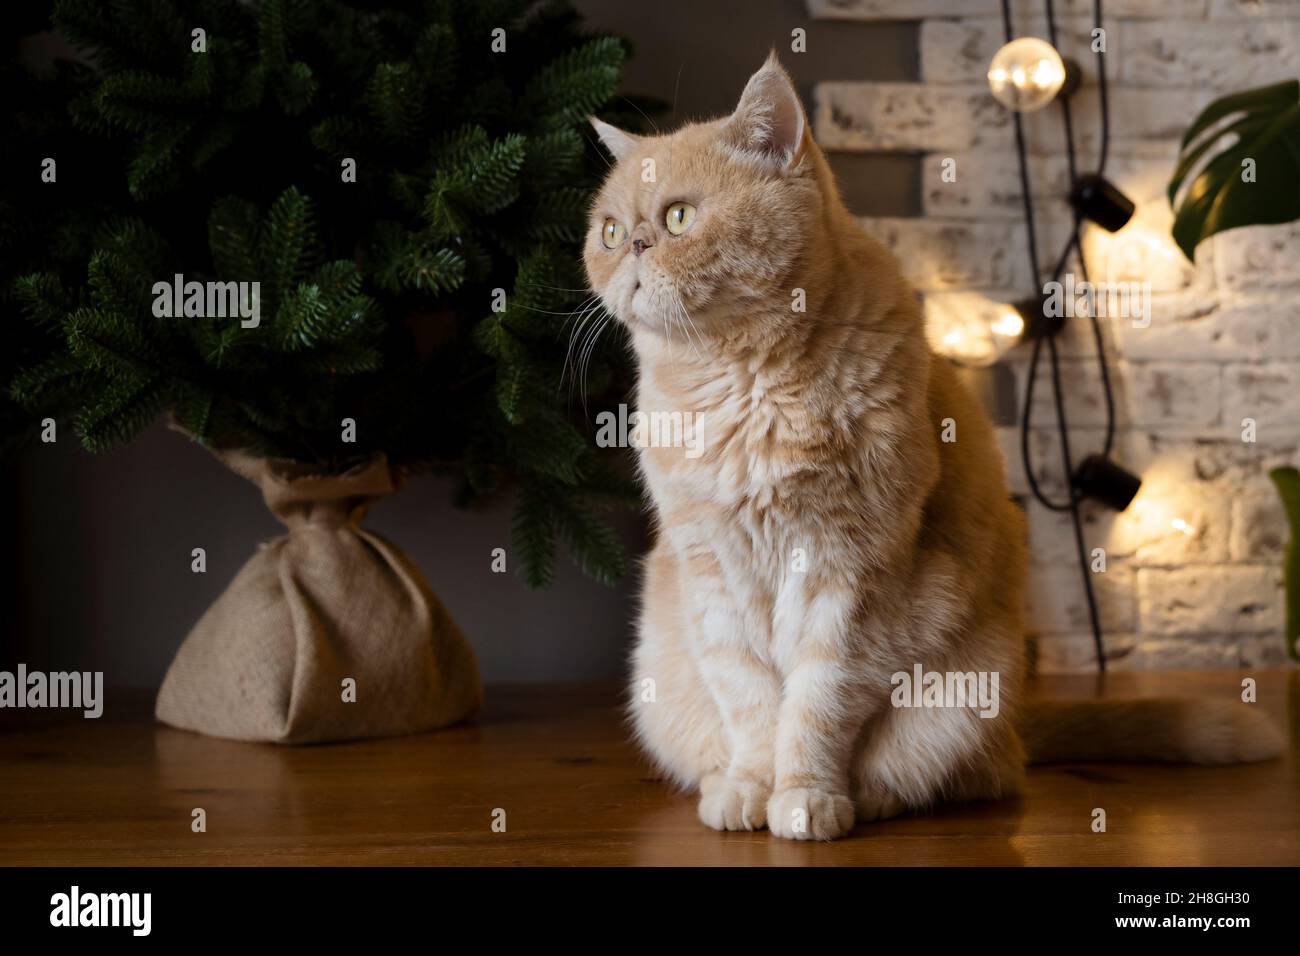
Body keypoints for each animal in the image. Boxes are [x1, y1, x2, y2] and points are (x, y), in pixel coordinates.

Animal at [585, 55, 1284, 842]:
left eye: (678, 217)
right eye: (608, 231)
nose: (633, 245)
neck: (742, 388)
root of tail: (1019, 722)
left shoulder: (848, 571)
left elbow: (816, 704)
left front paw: (806, 798)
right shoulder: (710, 570)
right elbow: (751, 702)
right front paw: (751, 789)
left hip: (964, 694)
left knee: (966, 775)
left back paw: (874, 796)